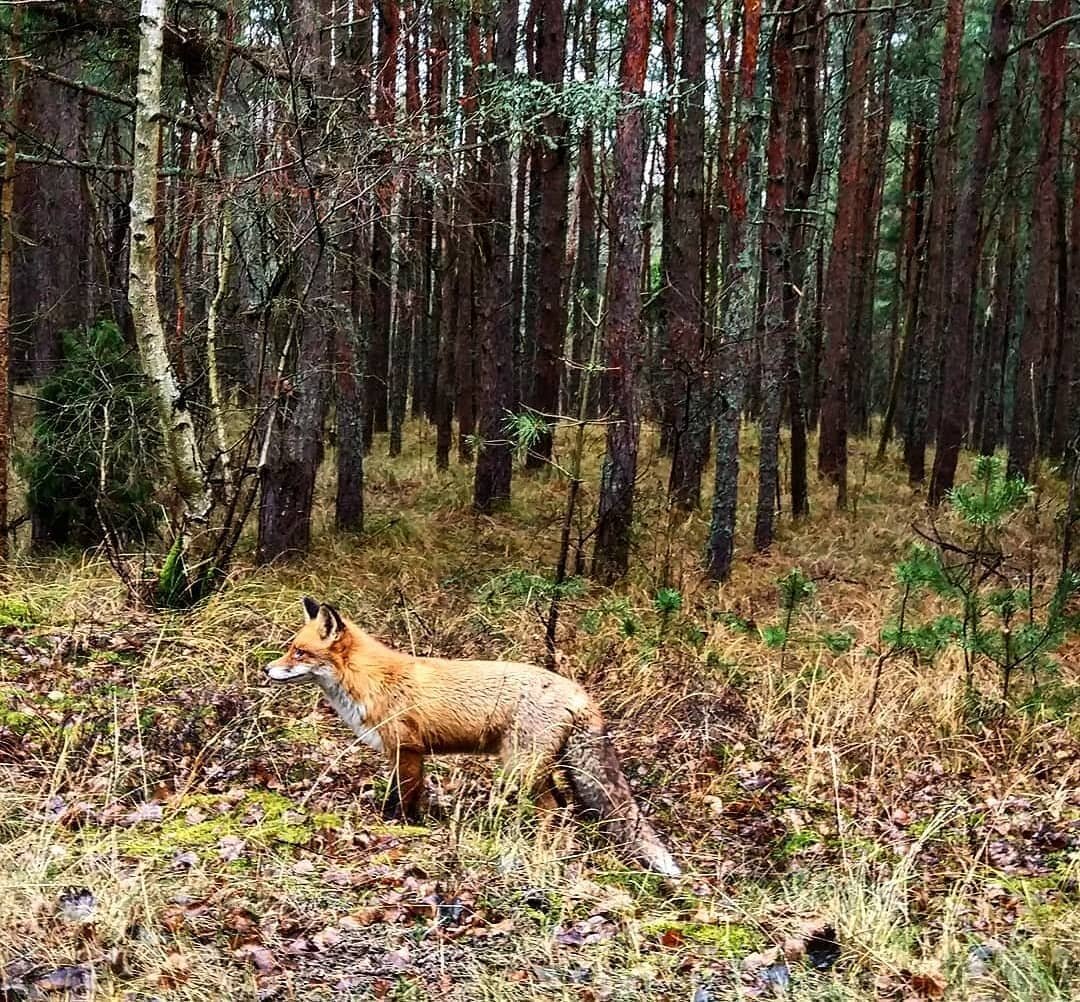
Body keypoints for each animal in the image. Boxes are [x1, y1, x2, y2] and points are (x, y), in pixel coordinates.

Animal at [265, 597, 681, 877]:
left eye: (299, 653)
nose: (267, 669)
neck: (370, 680)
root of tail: (579, 692)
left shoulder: (408, 750)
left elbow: (405, 799)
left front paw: (404, 828)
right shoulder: (403, 754)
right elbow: (400, 795)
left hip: (520, 767)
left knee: (554, 807)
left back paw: (531, 845)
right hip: (539, 766)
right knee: (563, 806)